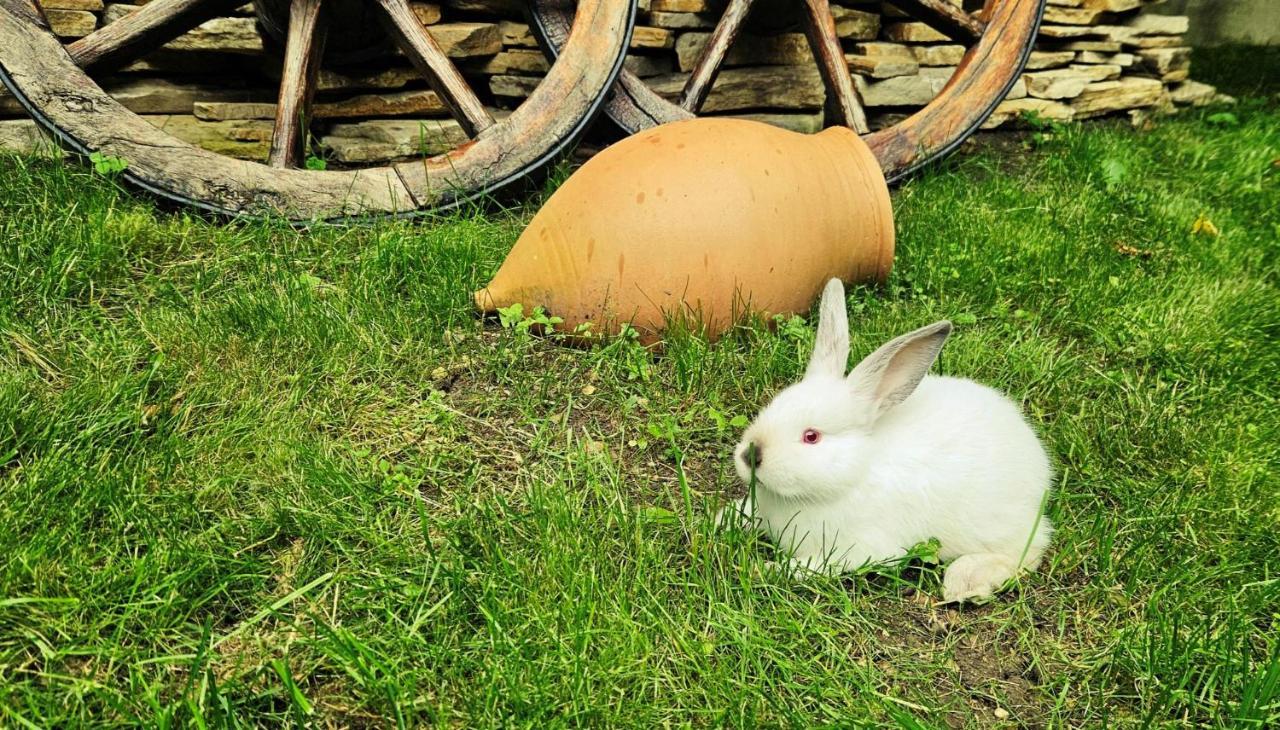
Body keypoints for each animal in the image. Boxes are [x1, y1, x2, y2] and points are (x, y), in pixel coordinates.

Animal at [727, 275, 1054, 599]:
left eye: (811, 436)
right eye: (771, 406)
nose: (750, 455)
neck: (854, 473)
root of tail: (1038, 462)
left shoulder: (859, 549)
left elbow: (814, 567)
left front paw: (763, 569)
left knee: (1029, 552)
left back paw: (966, 581)